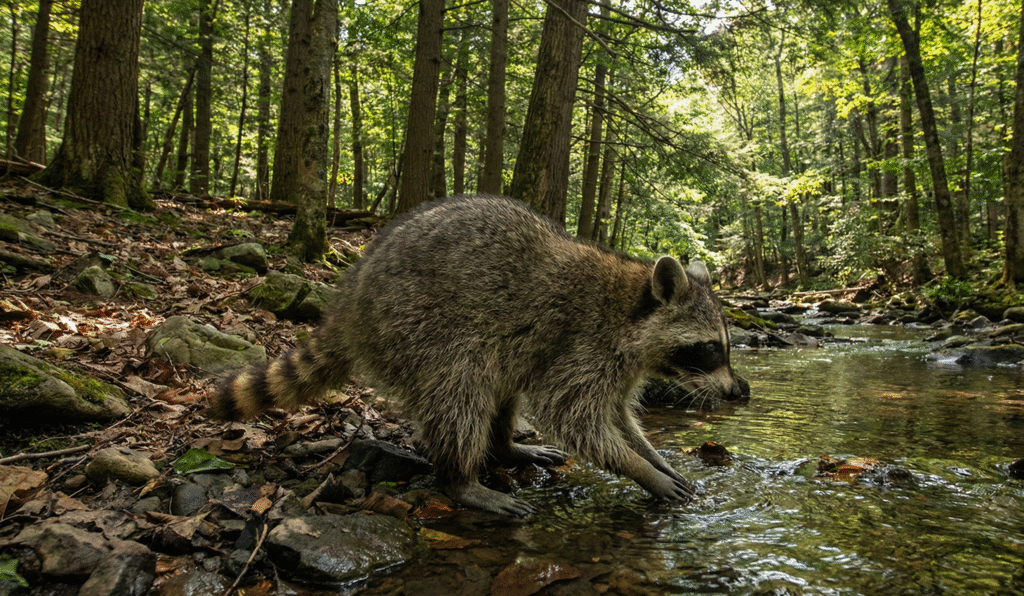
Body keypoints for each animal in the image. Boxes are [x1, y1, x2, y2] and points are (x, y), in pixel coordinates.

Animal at [212, 194, 744, 516]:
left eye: (725, 346)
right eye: (710, 349)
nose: (739, 391)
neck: (629, 307)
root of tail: (351, 296)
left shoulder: (616, 365)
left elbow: (616, 417)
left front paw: (654, 457)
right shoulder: (584, 344)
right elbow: (574, 420)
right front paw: (640, 470)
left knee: (502, 387)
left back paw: (506, 446)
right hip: (418, 326)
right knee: (460, 392)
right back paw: (462, 480)